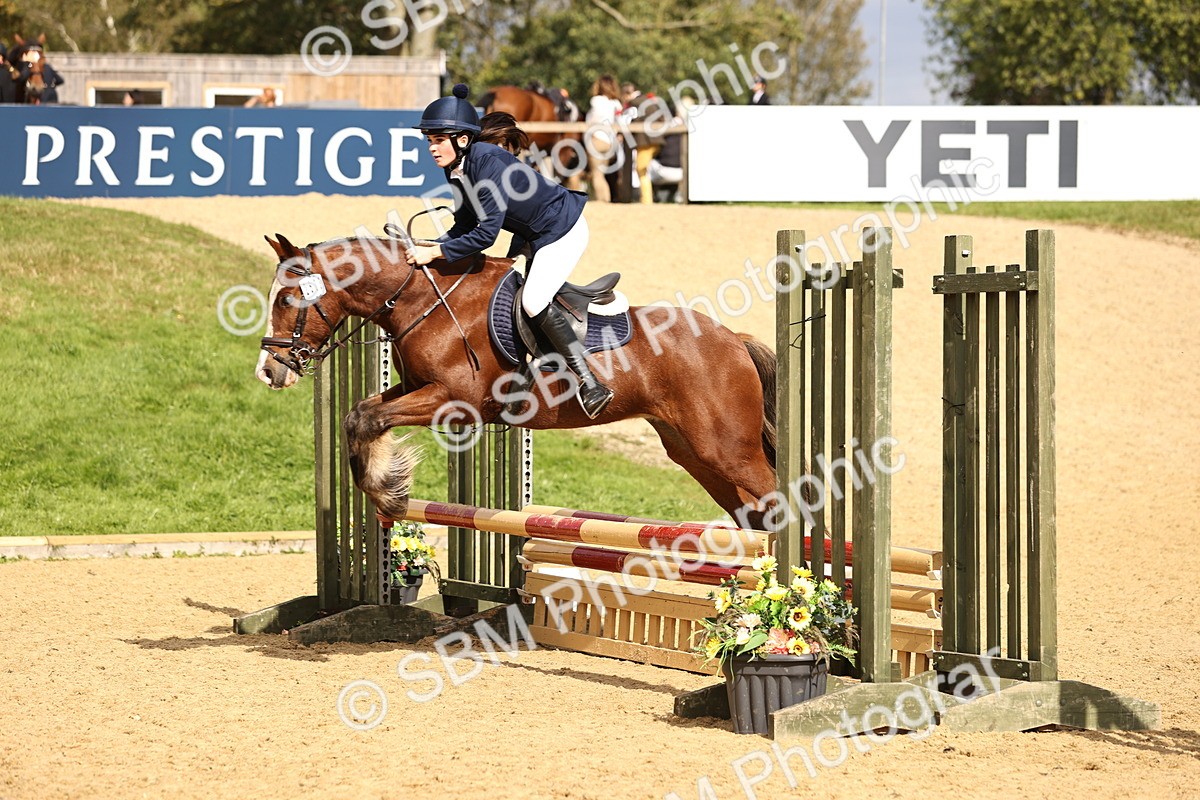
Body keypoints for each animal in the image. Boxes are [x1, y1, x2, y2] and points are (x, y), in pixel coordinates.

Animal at [255, 233, 780, 531]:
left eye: (285, 298)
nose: (269, 370)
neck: (421, 300)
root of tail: (734, 339)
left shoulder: (455, 401)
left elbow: (368, 419)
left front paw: (388, 490)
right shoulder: (416, 389)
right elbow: (360, 415)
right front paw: (391, 485)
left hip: (727, 449)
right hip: (693, 452)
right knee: (754, 516)